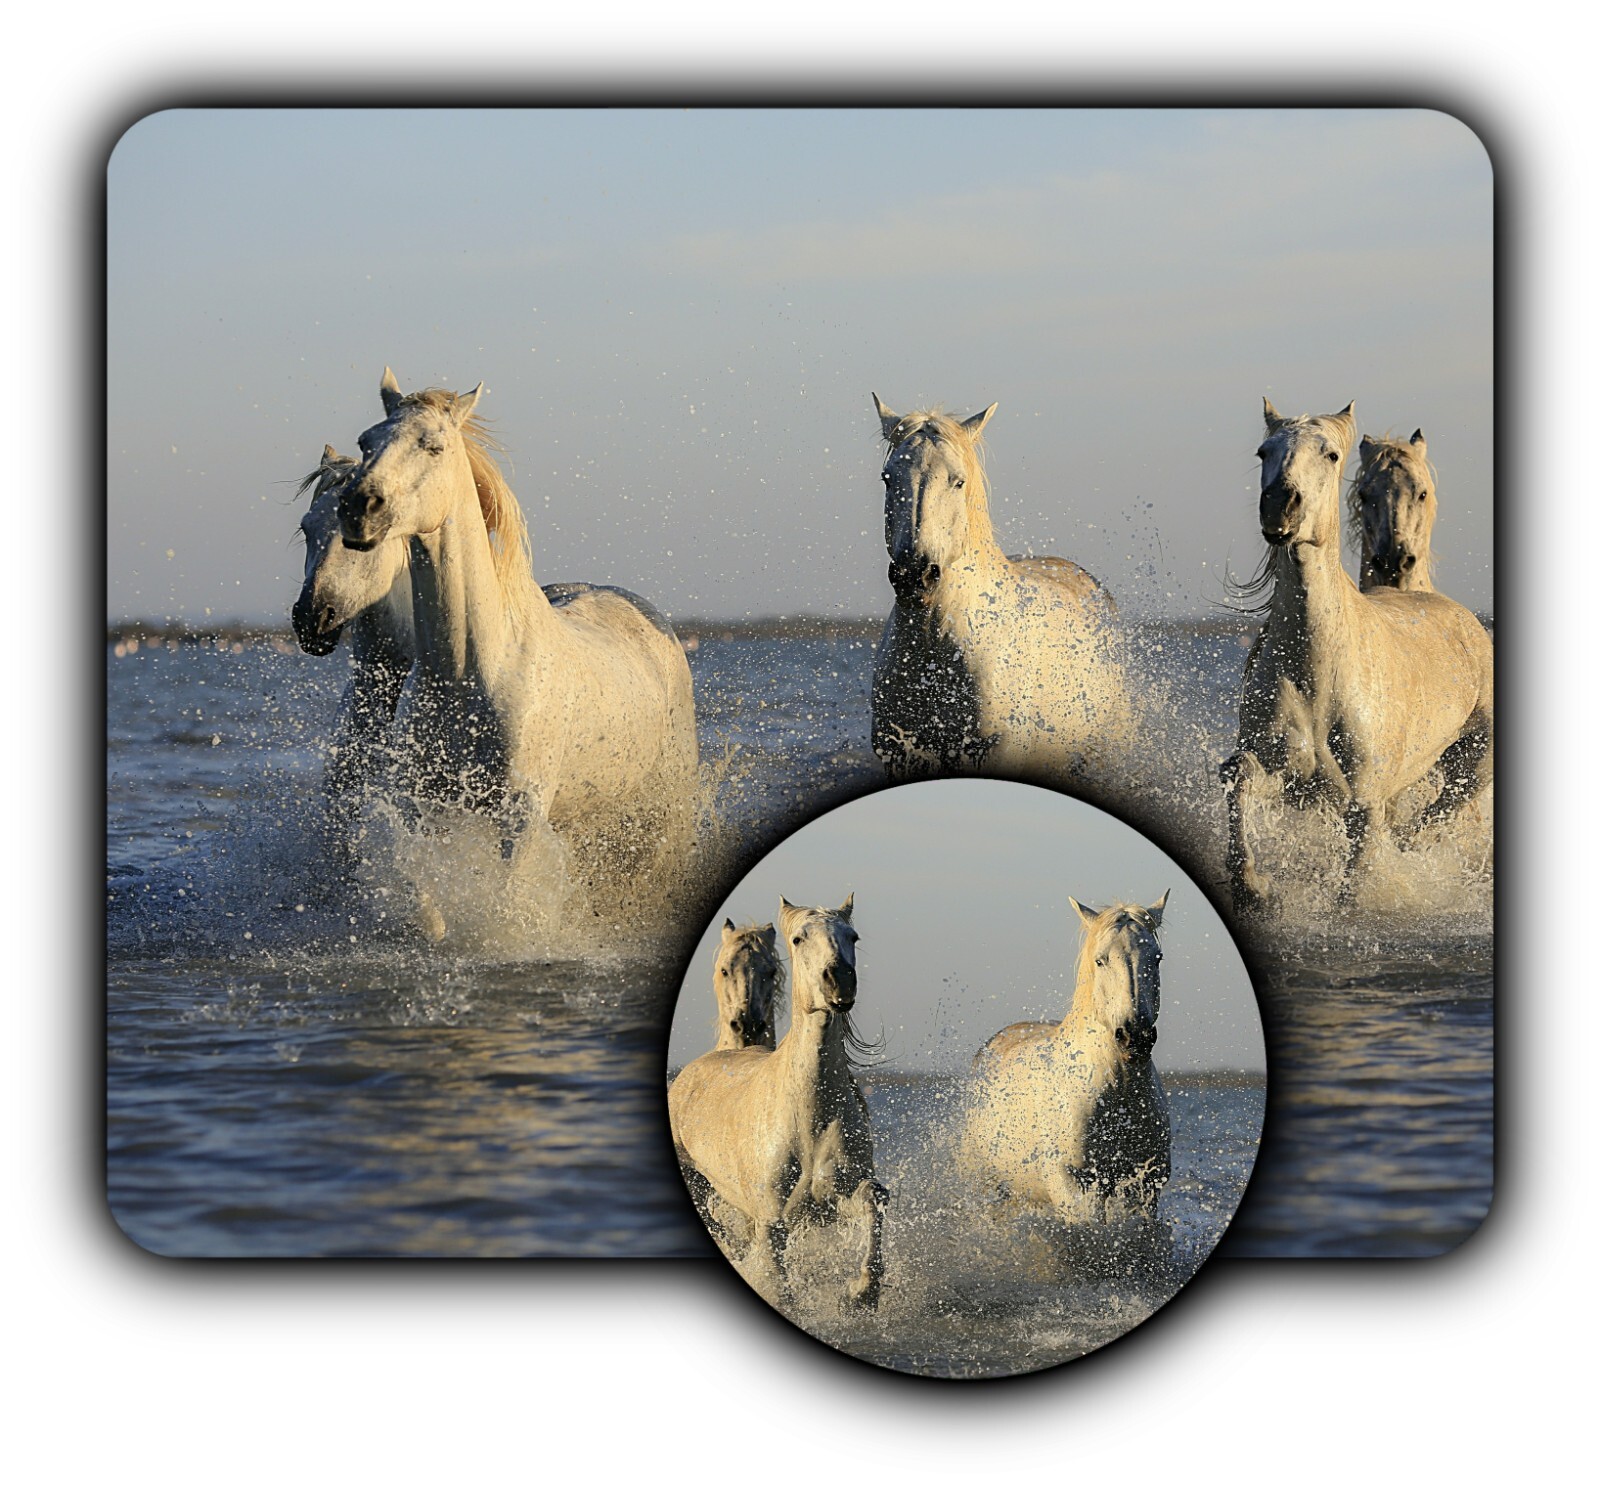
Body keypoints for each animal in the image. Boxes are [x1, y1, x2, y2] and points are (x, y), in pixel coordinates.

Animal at [336, 368, 700, 889]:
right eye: (366, 441)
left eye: (434, 446)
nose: (358, 507)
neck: (468, 670)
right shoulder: (424, 808)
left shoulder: (519, 819)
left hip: (667, 803)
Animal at [960, 893, 1172, 1228]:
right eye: (1100, 960)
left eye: (1157, 958)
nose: (1135, 1037)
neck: (1117, 1095)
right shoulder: (1077, 1188)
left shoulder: (1143, 1189)